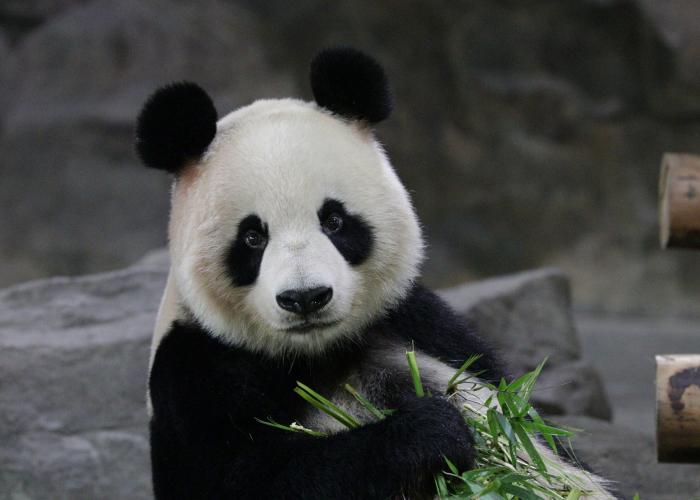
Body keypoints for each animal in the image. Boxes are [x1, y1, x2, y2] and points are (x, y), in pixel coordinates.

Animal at [138, 47, 613, 499]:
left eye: (334, 221)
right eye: (253, 237)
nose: (306, 297)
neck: (318, 353)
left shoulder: (423, 326)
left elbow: (531, 430)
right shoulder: (197, 371)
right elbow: (249, 479)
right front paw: (430, 433)